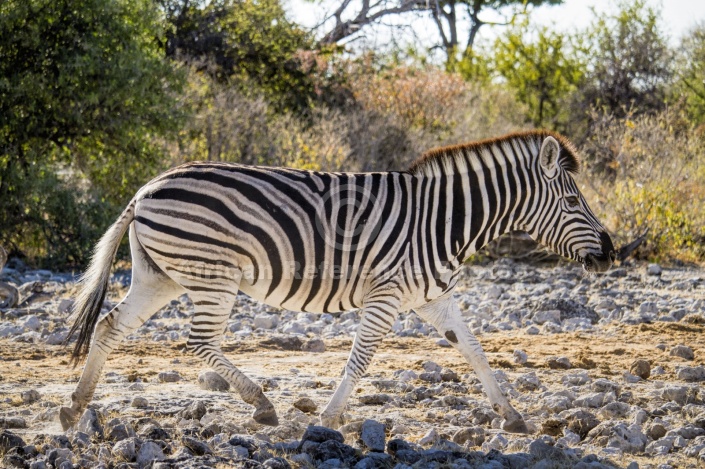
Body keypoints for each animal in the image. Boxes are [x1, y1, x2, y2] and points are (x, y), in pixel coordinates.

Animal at [59, 128, 612, 432]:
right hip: (212, 276)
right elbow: (361, 359)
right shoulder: (387, 295)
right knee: (197, 342)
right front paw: (327, 419)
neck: (441, 221)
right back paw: (261, 404)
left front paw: (511, 414)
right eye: (571, 201)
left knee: (110, 327)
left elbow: (475, 351)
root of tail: (146, 187)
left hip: (160, 277)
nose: (609, 253)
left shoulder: (434, 298)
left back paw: (74, 408)